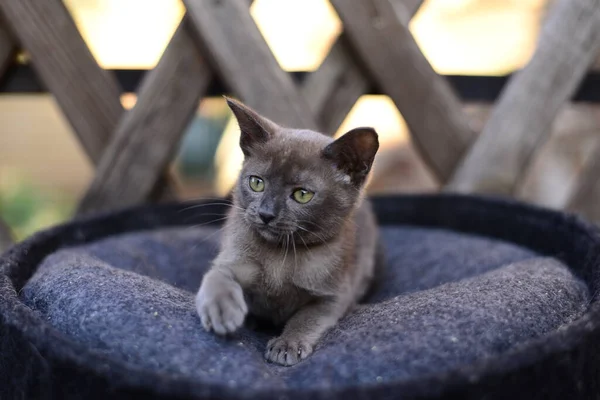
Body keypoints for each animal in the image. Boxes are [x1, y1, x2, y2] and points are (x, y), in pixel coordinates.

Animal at [195, 97, 382, 366]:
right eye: (256, 183)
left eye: (302, 195)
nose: (266, 214)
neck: (279, 260)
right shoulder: (231, 260)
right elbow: (217, 277)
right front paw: (221, 309)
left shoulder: (333, 296)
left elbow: (305, 318)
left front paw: (287, 345)